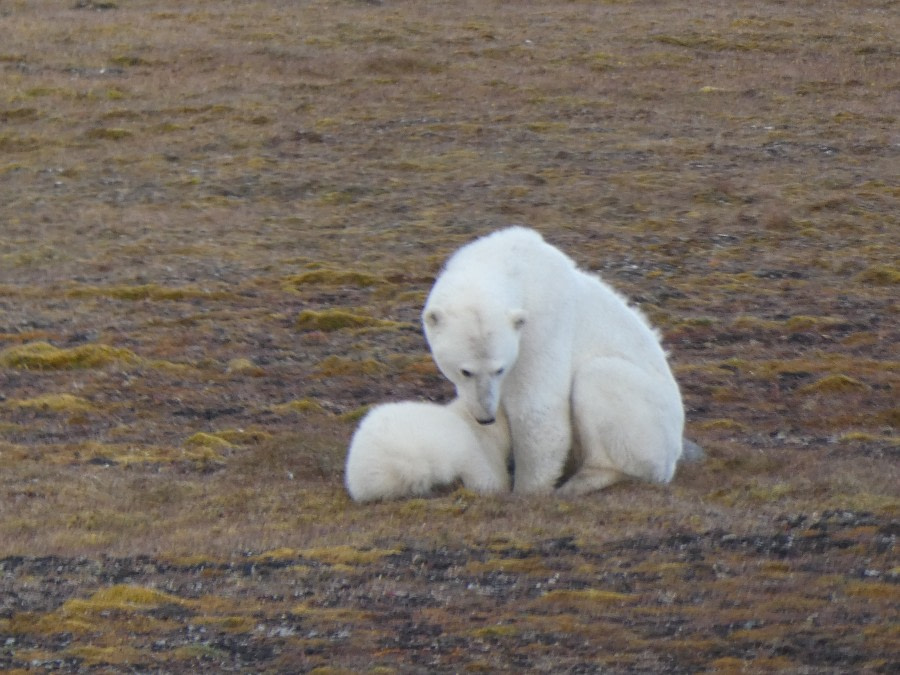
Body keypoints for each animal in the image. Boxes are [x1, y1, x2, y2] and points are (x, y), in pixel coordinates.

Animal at [422, 227, 688, 496]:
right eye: (465, 371)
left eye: (500, 369)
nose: (485, 417)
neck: (510, 262)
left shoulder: (542, 325)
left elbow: (537, 408)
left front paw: (528, 491)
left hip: (652, 426)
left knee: (599, 377)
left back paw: (583, 480)